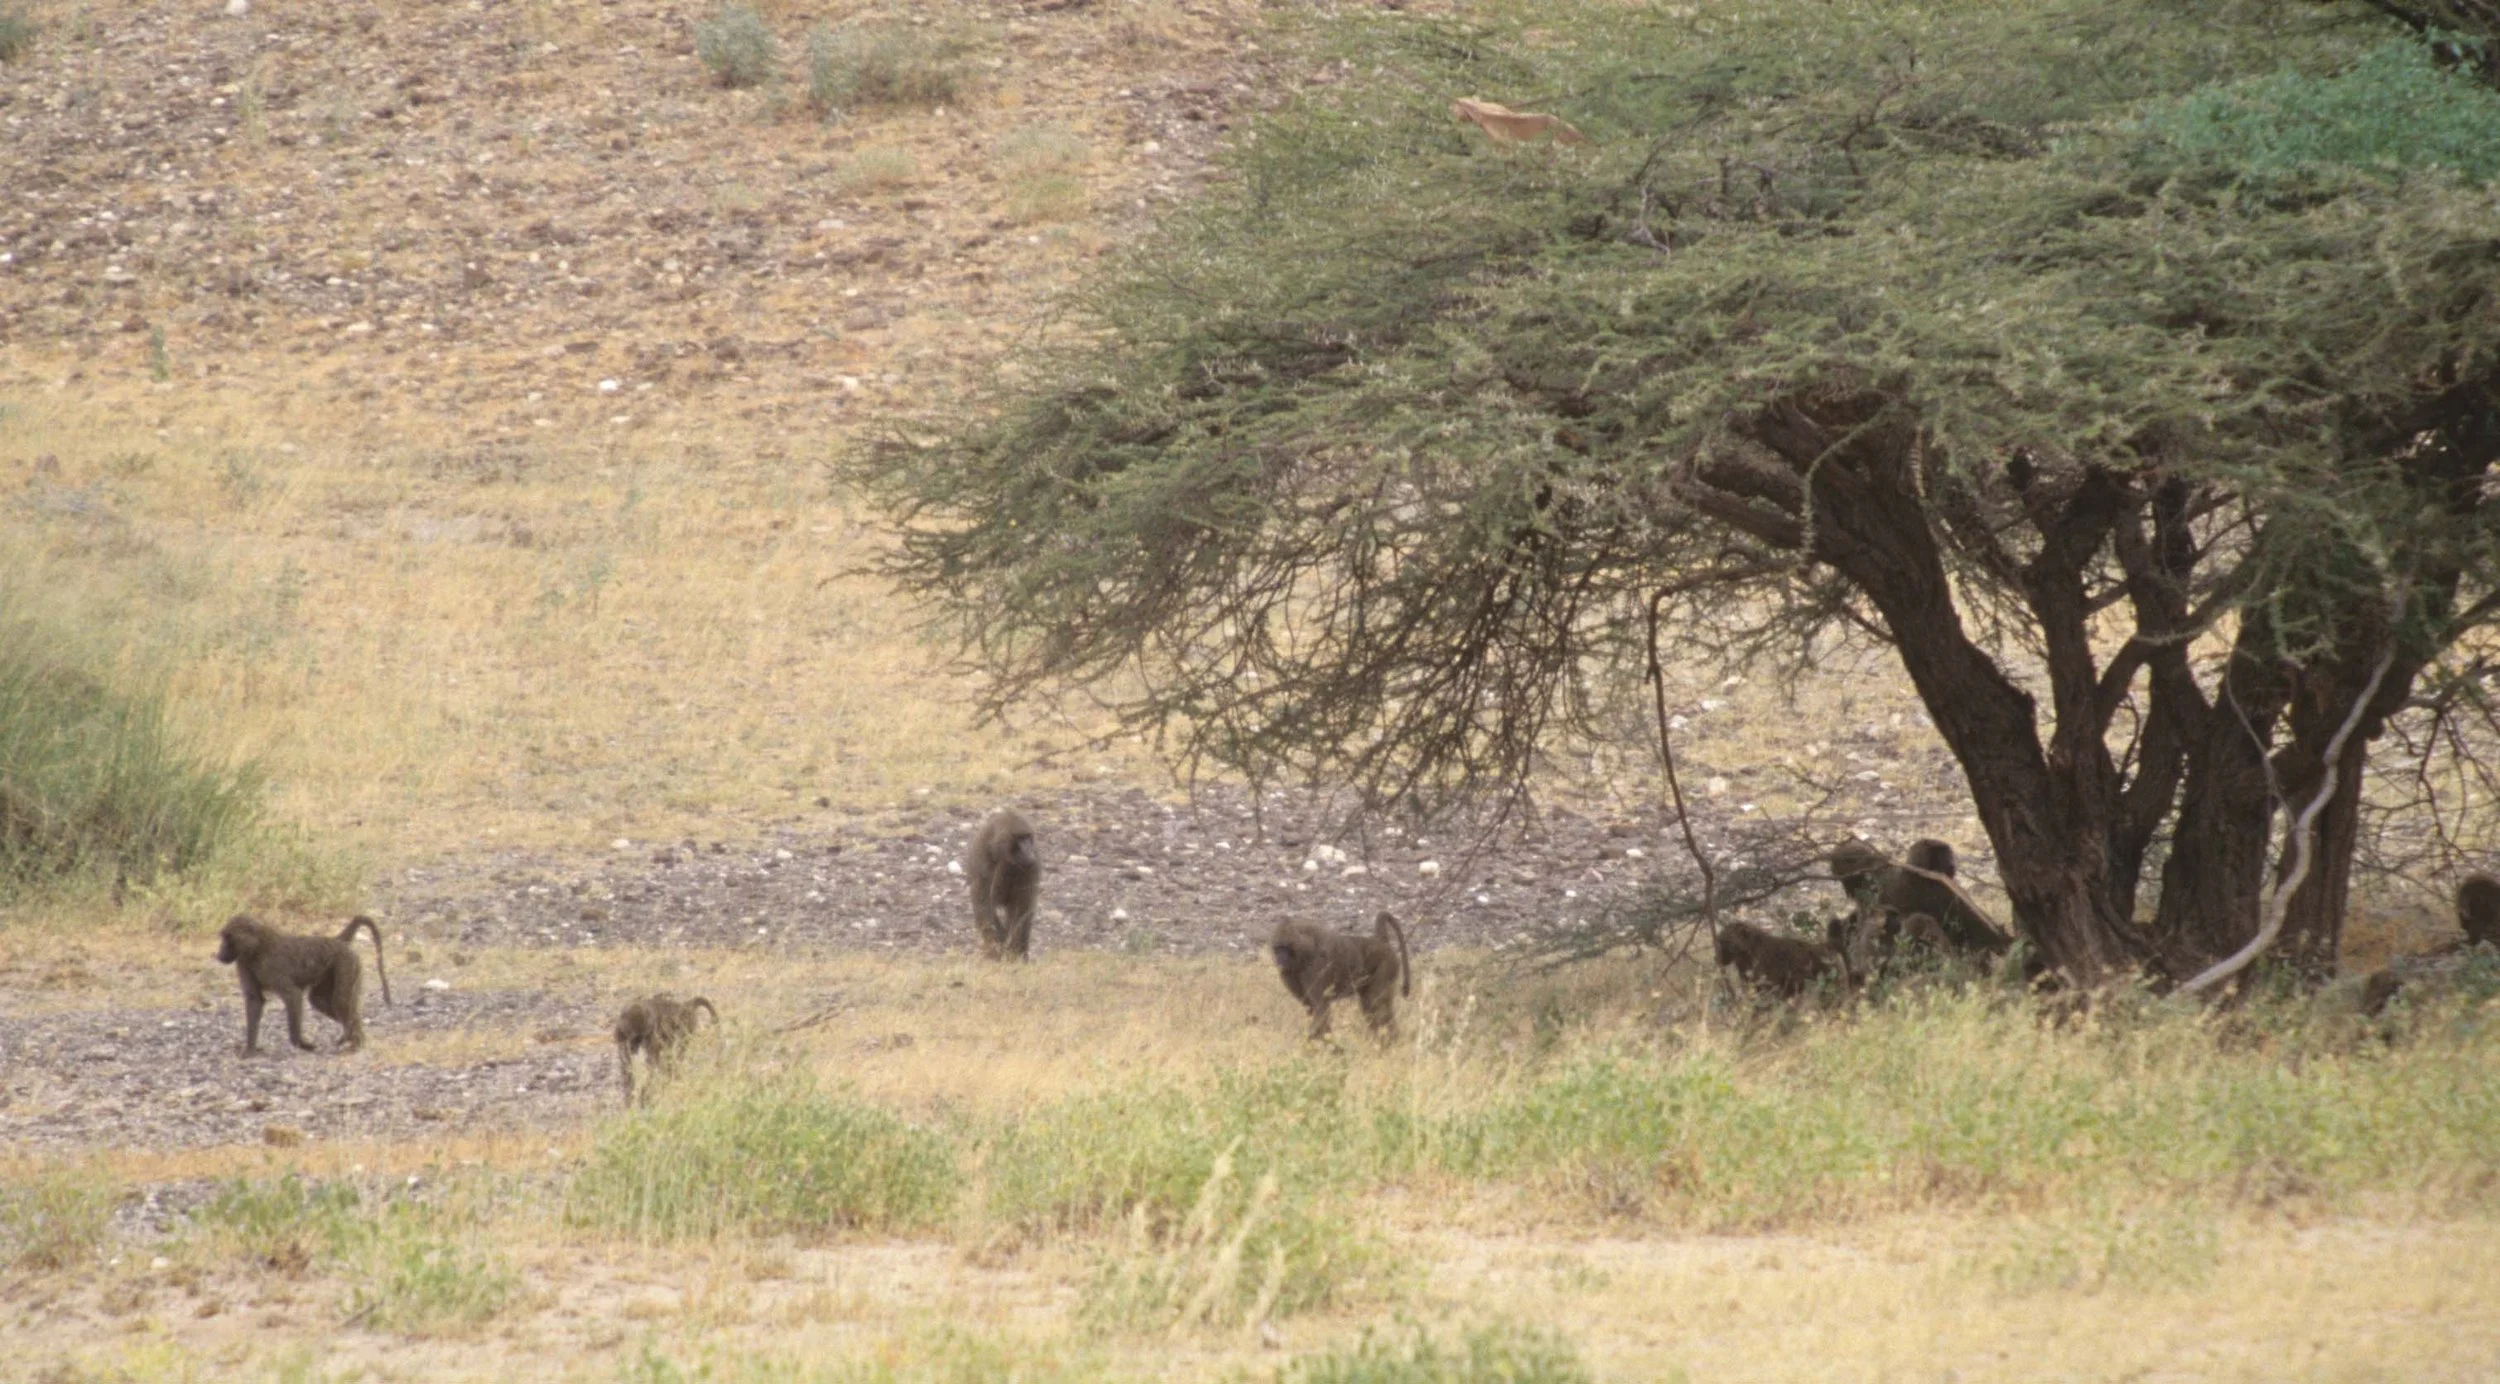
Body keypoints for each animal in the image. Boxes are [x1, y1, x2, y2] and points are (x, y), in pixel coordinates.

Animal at [215, 914, 392, 1055]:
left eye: (227, 938)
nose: (219, 955)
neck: (258, 947)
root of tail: (336, 940)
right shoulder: (243, 962)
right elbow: (254, 1000)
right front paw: (249, 1050)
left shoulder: (272, 968)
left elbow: (292, 995)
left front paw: (301, 1043)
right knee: (321, 1001)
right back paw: (355, 1037)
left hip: (347, 963)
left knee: (341, 1001)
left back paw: (355, 1041)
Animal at [964, 808, 1041, 960]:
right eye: (1020, 839)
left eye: (1028, 838)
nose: (1030, 855)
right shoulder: (984, 860)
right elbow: (984, 904)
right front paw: (998, 947)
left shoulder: (1031, 868)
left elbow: (1023, 908)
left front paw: (1015, 953)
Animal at [1270, 910, 1411, 1042]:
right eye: (1278, 948)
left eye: (1286, 948)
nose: (1279, 960)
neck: (1304, 952)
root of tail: (1381, 942)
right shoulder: (1289, 974)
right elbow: (1311, 1008)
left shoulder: (1314, 969)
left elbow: (1321, 1009)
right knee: (1371, 1008)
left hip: (1387, 965)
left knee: (1377, 1006)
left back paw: (1390, 1042)